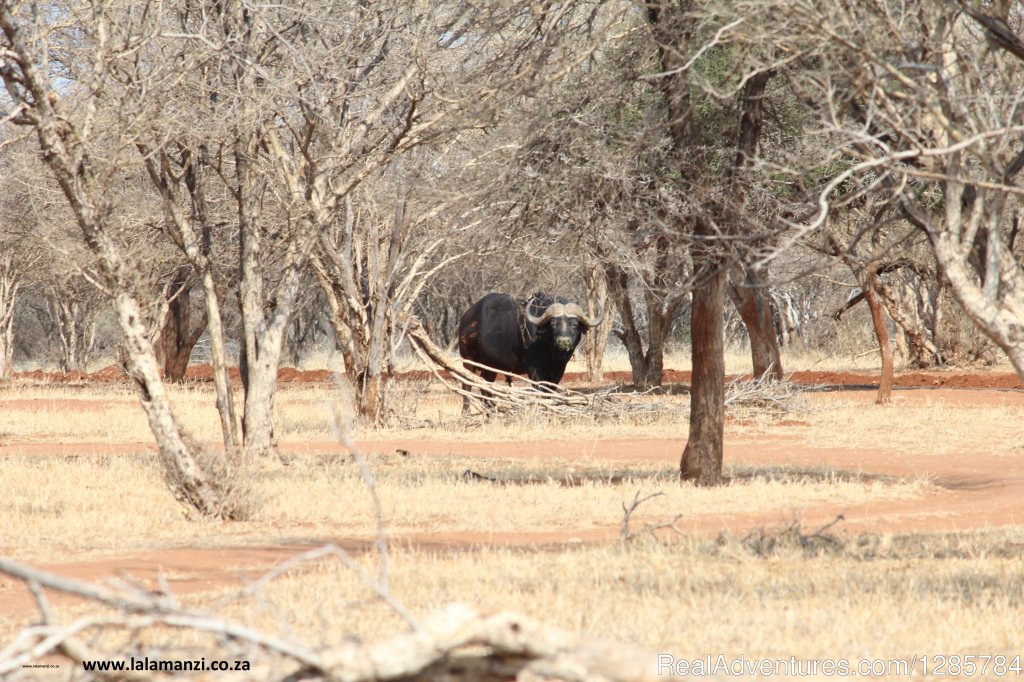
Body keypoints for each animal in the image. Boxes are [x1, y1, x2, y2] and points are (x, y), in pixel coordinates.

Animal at [456, 288, 598, 405]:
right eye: (553, 324)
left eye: (575, 324)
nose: (563, 341)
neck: (551, 351)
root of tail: (465, 318)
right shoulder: (534, 369)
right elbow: (540, 391)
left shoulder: (559, 370)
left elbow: (550, 391)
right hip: (468, 358)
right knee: (466, 385)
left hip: (490, 365)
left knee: (486, 385)